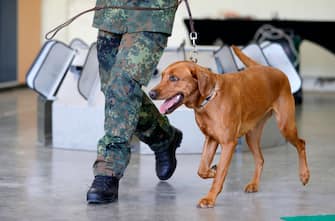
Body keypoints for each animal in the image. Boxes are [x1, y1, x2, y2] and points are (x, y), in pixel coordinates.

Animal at [149, 45, 310, 208]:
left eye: (173, 78)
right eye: (162, 76)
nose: (151, 93)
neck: (210, 98)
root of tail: (272, 69)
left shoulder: (228, 143)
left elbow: (221, 172)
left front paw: (210, 198)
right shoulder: (211, 139)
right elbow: (202, 169)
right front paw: (212, 171)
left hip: (285, 126)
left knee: (301, 144)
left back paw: (304, 175)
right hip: (251, 136)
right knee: (260, 159)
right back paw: (254, 184)